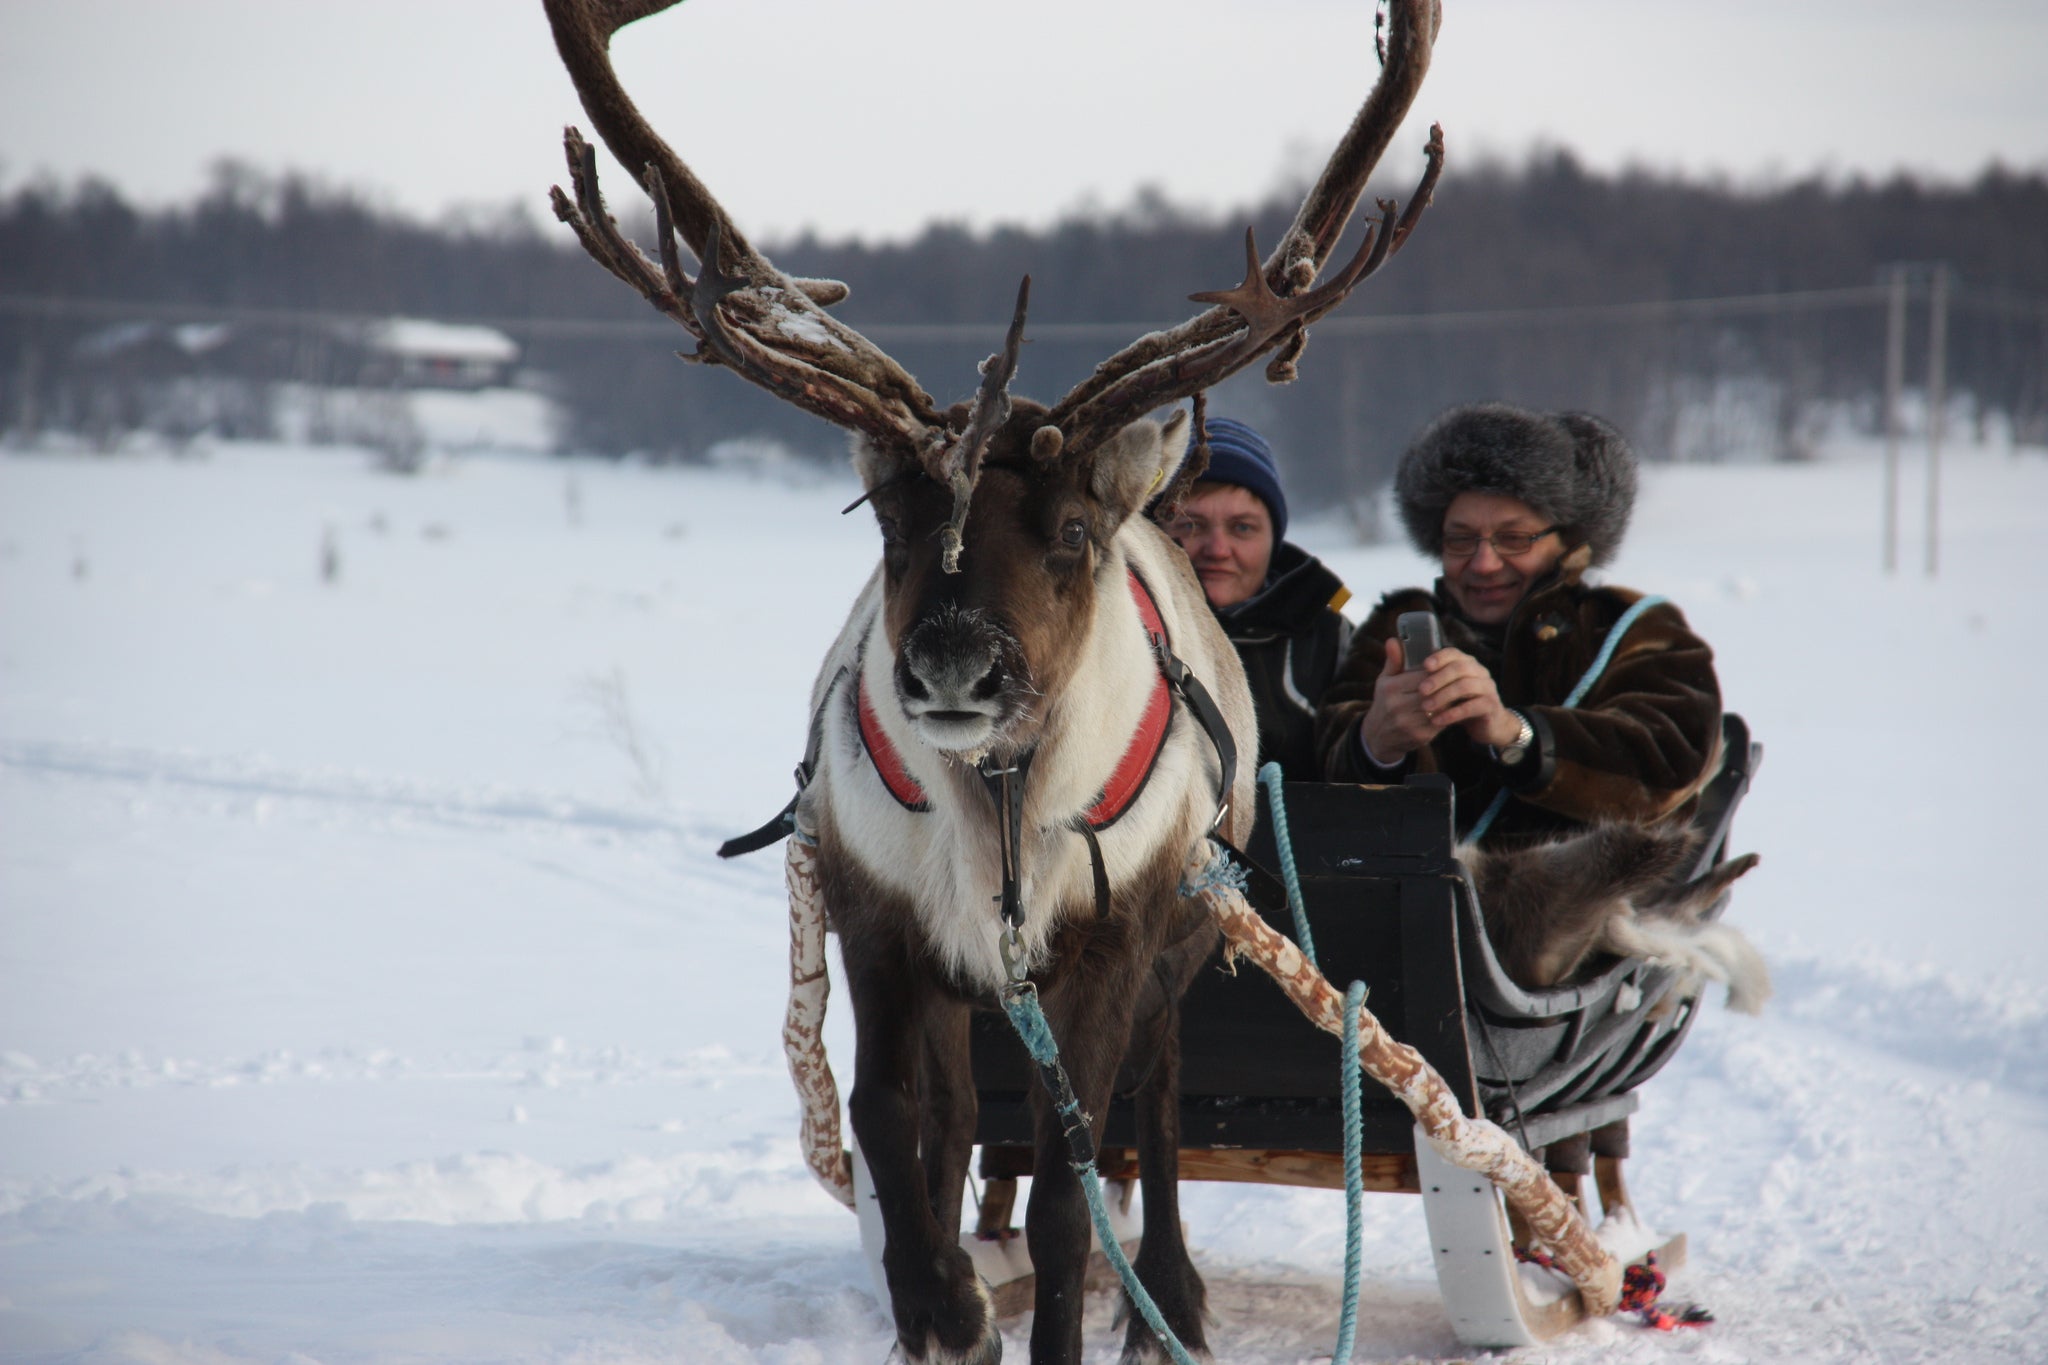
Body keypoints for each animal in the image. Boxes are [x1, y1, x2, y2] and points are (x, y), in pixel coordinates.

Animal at [539, 1, 1443, 1359]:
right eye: (888, 520)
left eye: (1068, 531)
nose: (953, 662)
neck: (996, 819)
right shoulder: (879, 917)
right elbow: (886, 1116)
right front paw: (940, 1301)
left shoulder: (1111, 943)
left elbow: (1076, 1187)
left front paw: (1057, 1310)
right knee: (959, 1116)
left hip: (1184, 941)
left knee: (1157, 1099)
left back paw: (1170, 1293)